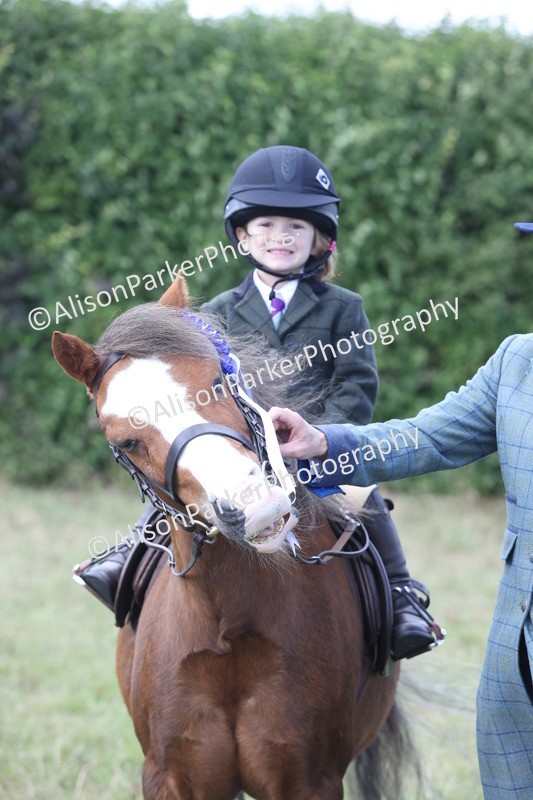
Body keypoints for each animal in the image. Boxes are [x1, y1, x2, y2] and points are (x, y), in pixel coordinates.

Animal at [52, 274, 413, 800]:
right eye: (128, 442)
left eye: (219, 383)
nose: (256, 505)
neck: (228, 623)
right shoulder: (170, 776)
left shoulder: (311, 780)